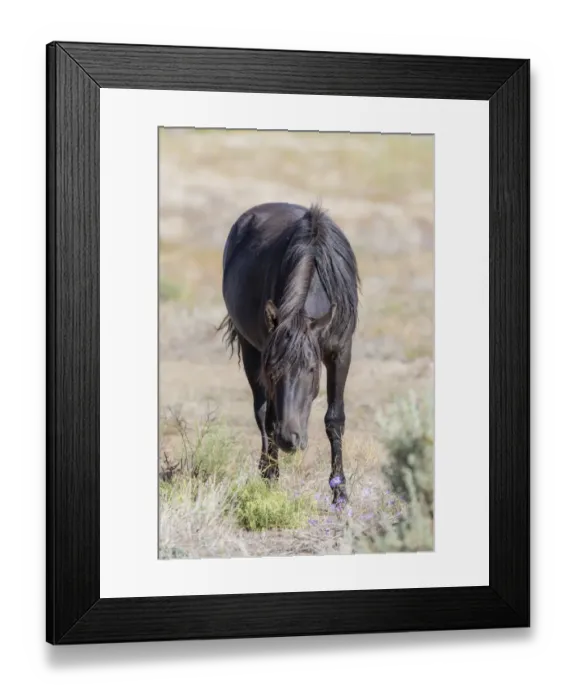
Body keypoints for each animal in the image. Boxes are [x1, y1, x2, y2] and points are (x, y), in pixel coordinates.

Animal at [218, 202, 360, 505]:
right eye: (273, 371)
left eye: (311, 369)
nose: (289, 439)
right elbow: (269, 417)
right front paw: (271, 477)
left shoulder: (341, 352)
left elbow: (335, 419)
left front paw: (340, 493)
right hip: (250, 348)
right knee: (263, 413)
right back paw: (268, 472)